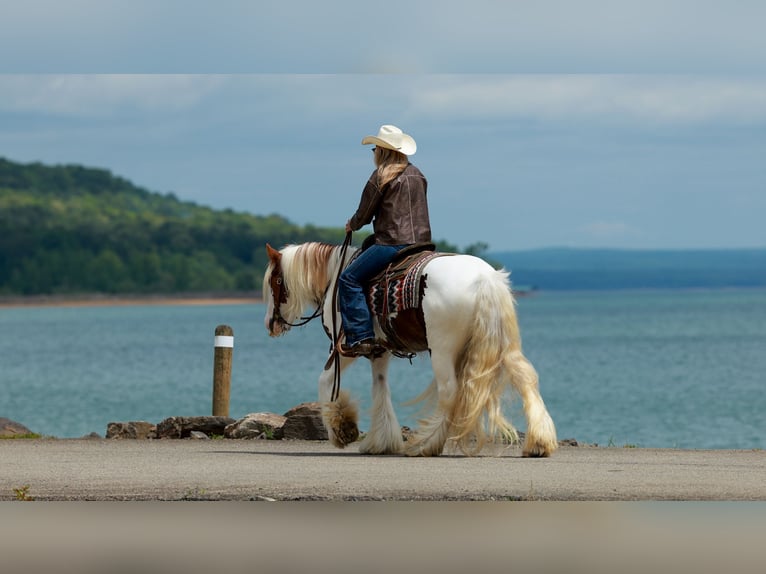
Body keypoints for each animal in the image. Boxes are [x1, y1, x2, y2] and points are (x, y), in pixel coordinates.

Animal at [263, 241, 558, 457]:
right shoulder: (378, 351)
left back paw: (426, 444)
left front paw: (342, 430)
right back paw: (539, 443)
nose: (270, 324)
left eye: (275, 281)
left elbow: (325, 381)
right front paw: (380, 443)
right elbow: (381, 388)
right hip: (505, 345)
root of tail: (485, 279)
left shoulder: (343, 349)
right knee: (526, 380)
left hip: (442, 349)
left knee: (450, 391)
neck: (337, 276)